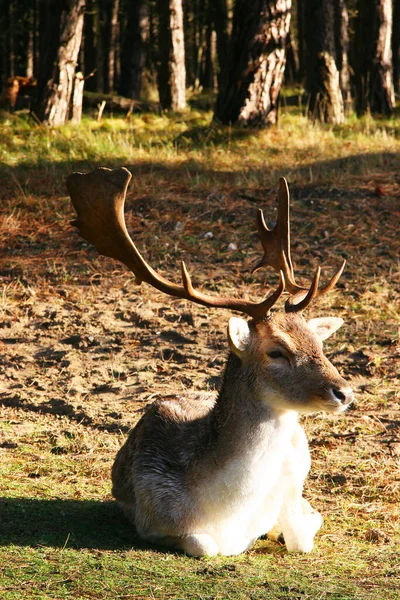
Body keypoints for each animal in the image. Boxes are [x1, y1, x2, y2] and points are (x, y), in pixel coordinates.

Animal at [68, 166, 354, 556]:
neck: (226, 513)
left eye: (318, 344)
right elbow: (204, 545)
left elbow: (302, 533)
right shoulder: (149, 517)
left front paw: (288, 527)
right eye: (276, 351)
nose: (344, 392)